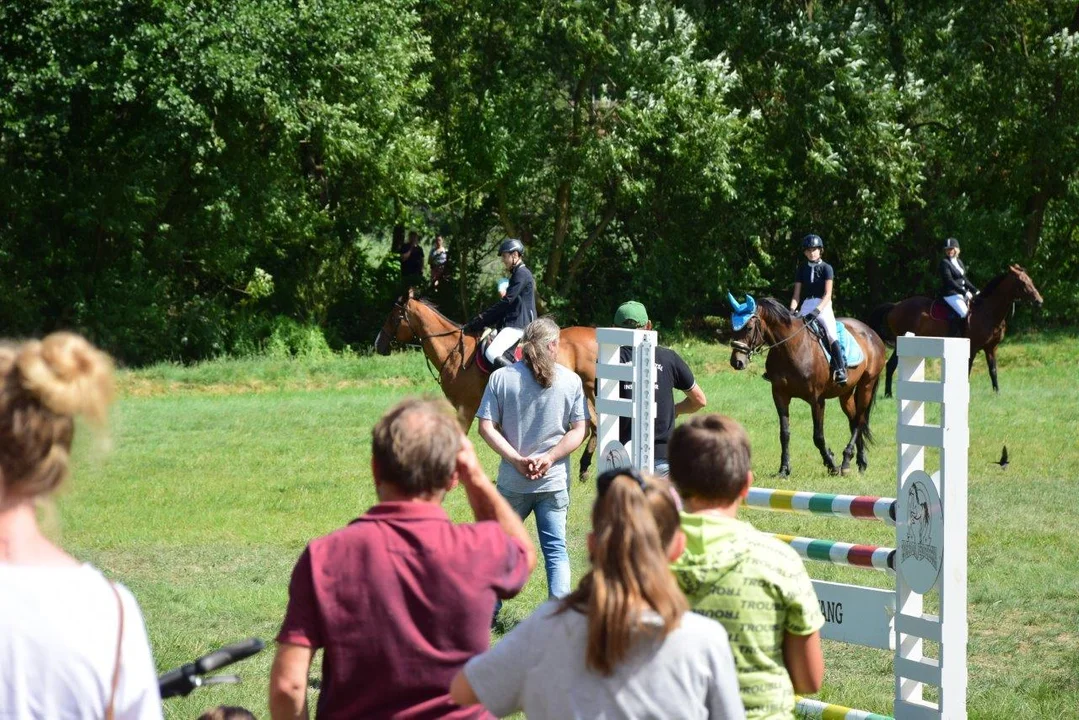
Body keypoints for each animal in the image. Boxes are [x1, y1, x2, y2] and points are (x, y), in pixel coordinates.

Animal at [377, 289, 599, 481]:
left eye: (393, 315)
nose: (378, 344)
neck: (456, 352)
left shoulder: (466, 407)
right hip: (584, 392)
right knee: (592, 425)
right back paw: (583, 468)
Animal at [725, 297, 884, 479]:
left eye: (749, 328)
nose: (736, 362)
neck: (790, 348)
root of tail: (871, 332)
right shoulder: (780, 395)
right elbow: (784, 434)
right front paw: (784, 469)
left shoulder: (817, 401)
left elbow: (818, 436)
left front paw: (831, 464)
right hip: (846, 393)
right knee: (855, 419)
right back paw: (860, 462)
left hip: (866, 385)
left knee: (859, 421)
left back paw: (845, 462)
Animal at [867, 264, 1035, 397]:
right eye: (1022, 282)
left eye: (1030, 280)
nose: (1038, 300)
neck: (988, 311)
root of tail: (895, 306)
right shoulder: (972, 347)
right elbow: (967, 369)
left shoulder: (991, 348)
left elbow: (993, 370)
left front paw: (997, 393)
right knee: (891, 365)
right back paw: (888, 394)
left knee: (891, 365)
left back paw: (888, 394)